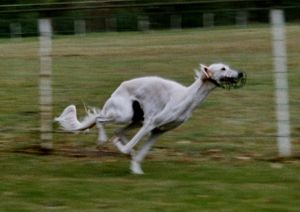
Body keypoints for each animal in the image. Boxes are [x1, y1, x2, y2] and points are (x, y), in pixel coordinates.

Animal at [54, 63, 246, 174]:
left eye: (228, 66)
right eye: (223, 69)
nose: (241, 74)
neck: (186, 97)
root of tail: (117, 90)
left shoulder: (157, 131)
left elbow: (141, 151)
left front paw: (136, 168)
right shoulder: (150, 124)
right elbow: (127, 148)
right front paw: (125, 152)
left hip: (135, 119)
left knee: (117, 131)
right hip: (124, 115)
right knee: (101, 120)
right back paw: (103, 139)